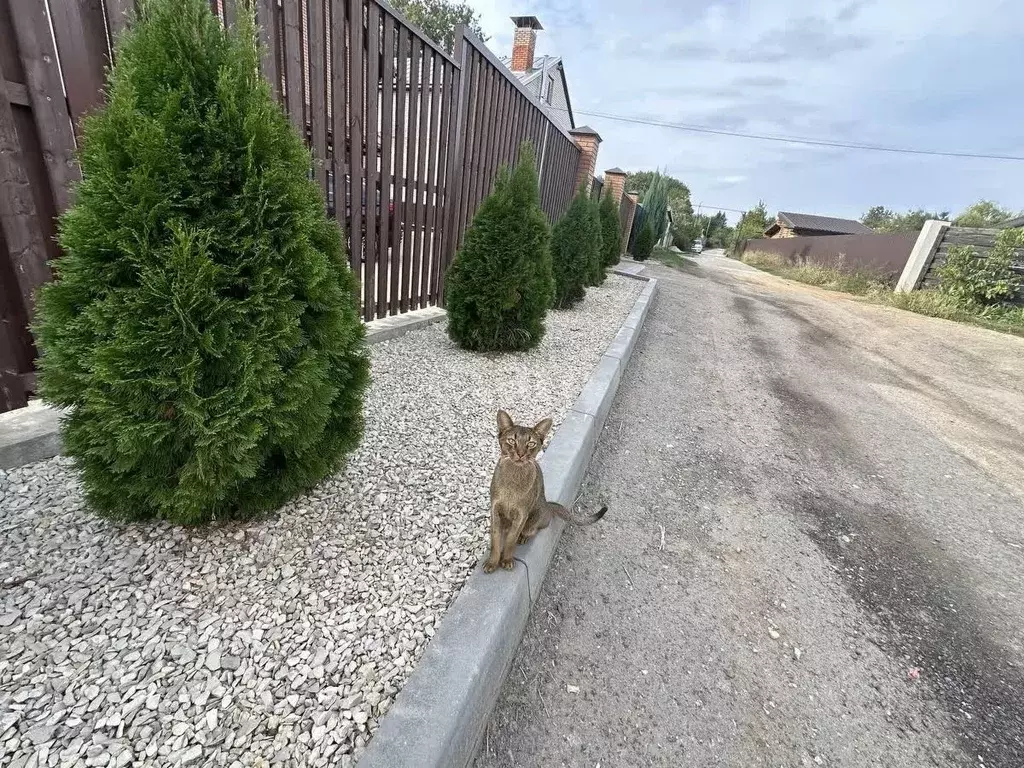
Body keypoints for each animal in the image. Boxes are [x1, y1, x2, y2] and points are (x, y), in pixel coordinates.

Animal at [481, 411, 602, 573]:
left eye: (531, 443)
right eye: (512, 441)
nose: (520, 454)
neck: (512, 480)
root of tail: (547, 505)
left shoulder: (521, 514)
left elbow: (511, 540)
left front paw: (506, 560)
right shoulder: (495, 509)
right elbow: (495, 539)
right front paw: (492, 562)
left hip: (533, 520)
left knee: (532, 530)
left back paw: (524, 537)